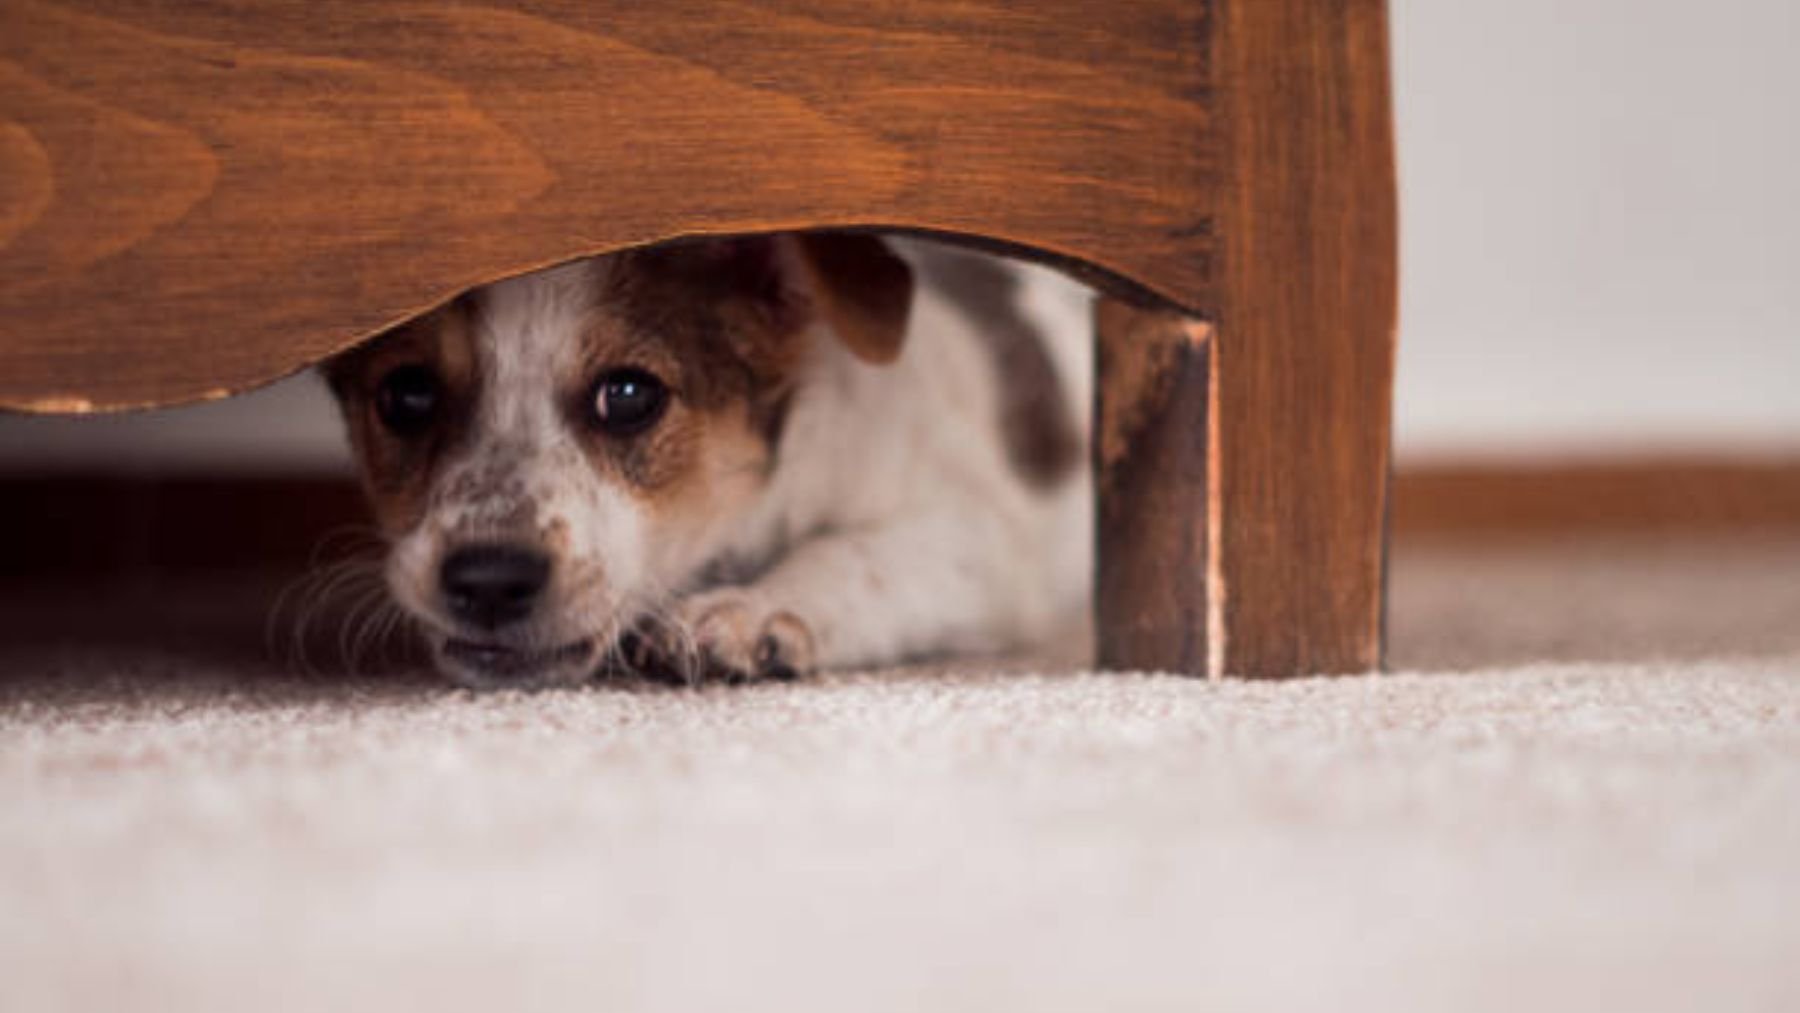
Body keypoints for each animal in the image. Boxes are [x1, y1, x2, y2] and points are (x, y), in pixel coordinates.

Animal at [325, 232, 1087, 690]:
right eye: (407, 395)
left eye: (629, 395)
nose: (488, 580)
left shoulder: (980, 537)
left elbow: (854, 553)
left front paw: (753, 609)